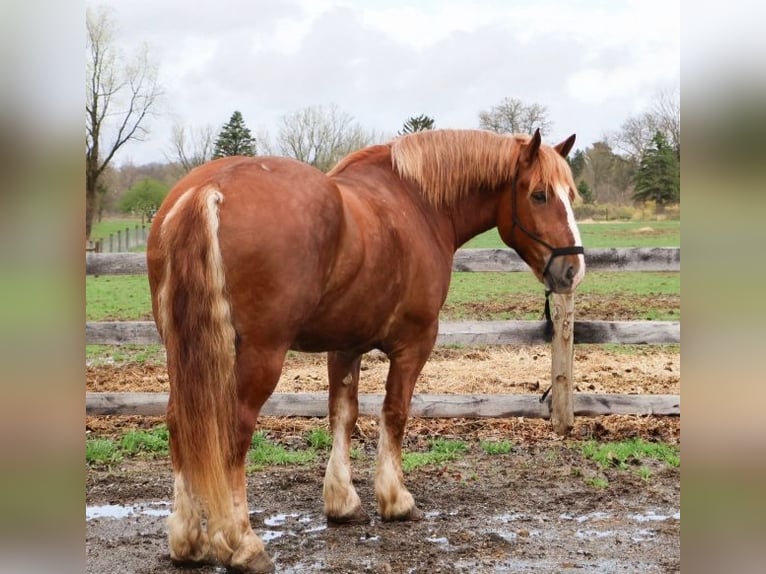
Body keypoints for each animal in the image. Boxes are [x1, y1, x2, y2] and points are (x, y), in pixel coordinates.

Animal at [146, 128, 584, 572]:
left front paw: (343, 503)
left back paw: (188, 542)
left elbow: (343, 414)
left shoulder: (345, 346)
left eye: (571, 194)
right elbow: (394, 413)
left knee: (181, 422)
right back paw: (242, 544)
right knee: (233, 431)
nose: (573, 270)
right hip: (260, 354)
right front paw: (396, 500)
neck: (418, 204)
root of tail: (209, 188)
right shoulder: (413, 344)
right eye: (540, 195)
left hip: (181, 350)